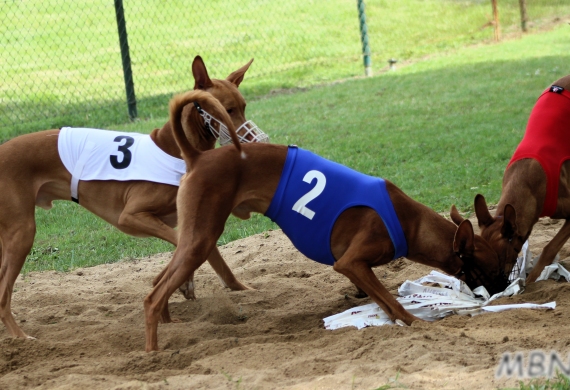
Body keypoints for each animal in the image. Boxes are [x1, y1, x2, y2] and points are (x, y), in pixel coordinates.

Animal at [0, 56, 268, 340]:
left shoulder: (194, 223)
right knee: (3, 295)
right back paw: (20, 337)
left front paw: (244, 290)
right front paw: (183, 284)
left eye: (243, 107)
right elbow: (182, 245)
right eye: (227, 110)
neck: (175, 148)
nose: (255, 141)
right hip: (22, 232)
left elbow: (218, 262)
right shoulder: (130, 217)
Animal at [143, 91, 502, 350]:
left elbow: (378, 297)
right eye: (495, 265)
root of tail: (197, 156)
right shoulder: (351, 263)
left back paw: (171, 328)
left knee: (159, 281)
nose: (504, 291)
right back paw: (153, 353)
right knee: (152, 297)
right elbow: (390, 301)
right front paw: (414, 323)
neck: (409, 221)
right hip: (201, 240)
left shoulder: (356, 268)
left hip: (194, 241)